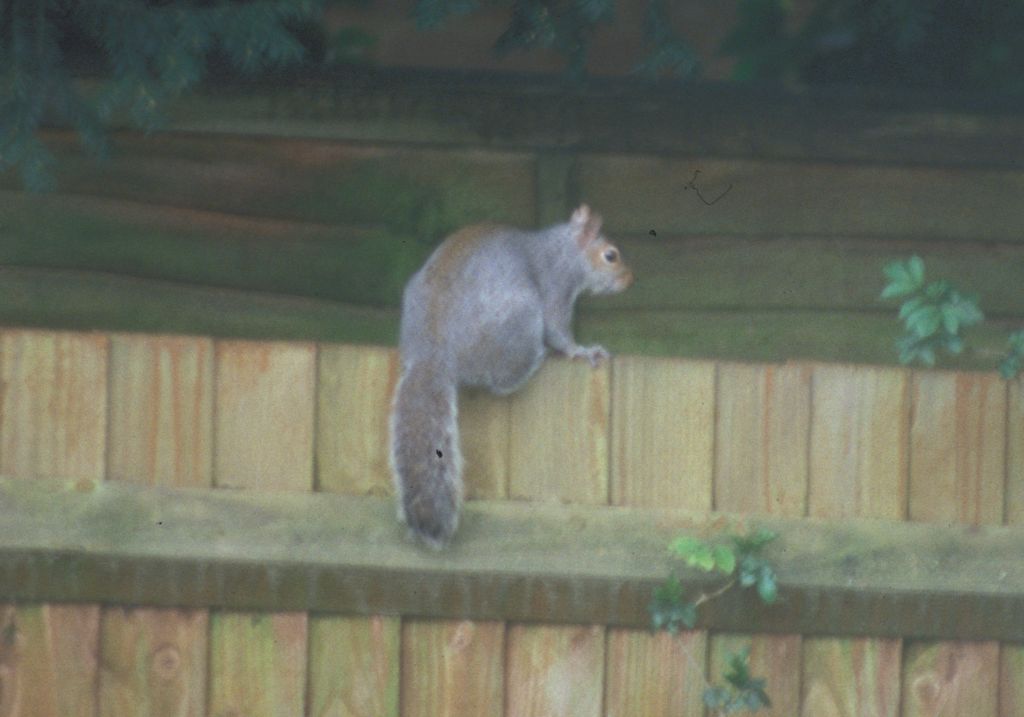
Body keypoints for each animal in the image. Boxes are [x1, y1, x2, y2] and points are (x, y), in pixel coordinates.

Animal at [389, 204, 634, 548]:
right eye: (610, 255)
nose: (629, 278)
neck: (563, 249)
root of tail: (432, 352)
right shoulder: (556, 286)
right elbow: (559, 330)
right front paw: (582, 351)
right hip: (521, 318)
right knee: (501, 381)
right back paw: (538, 359)